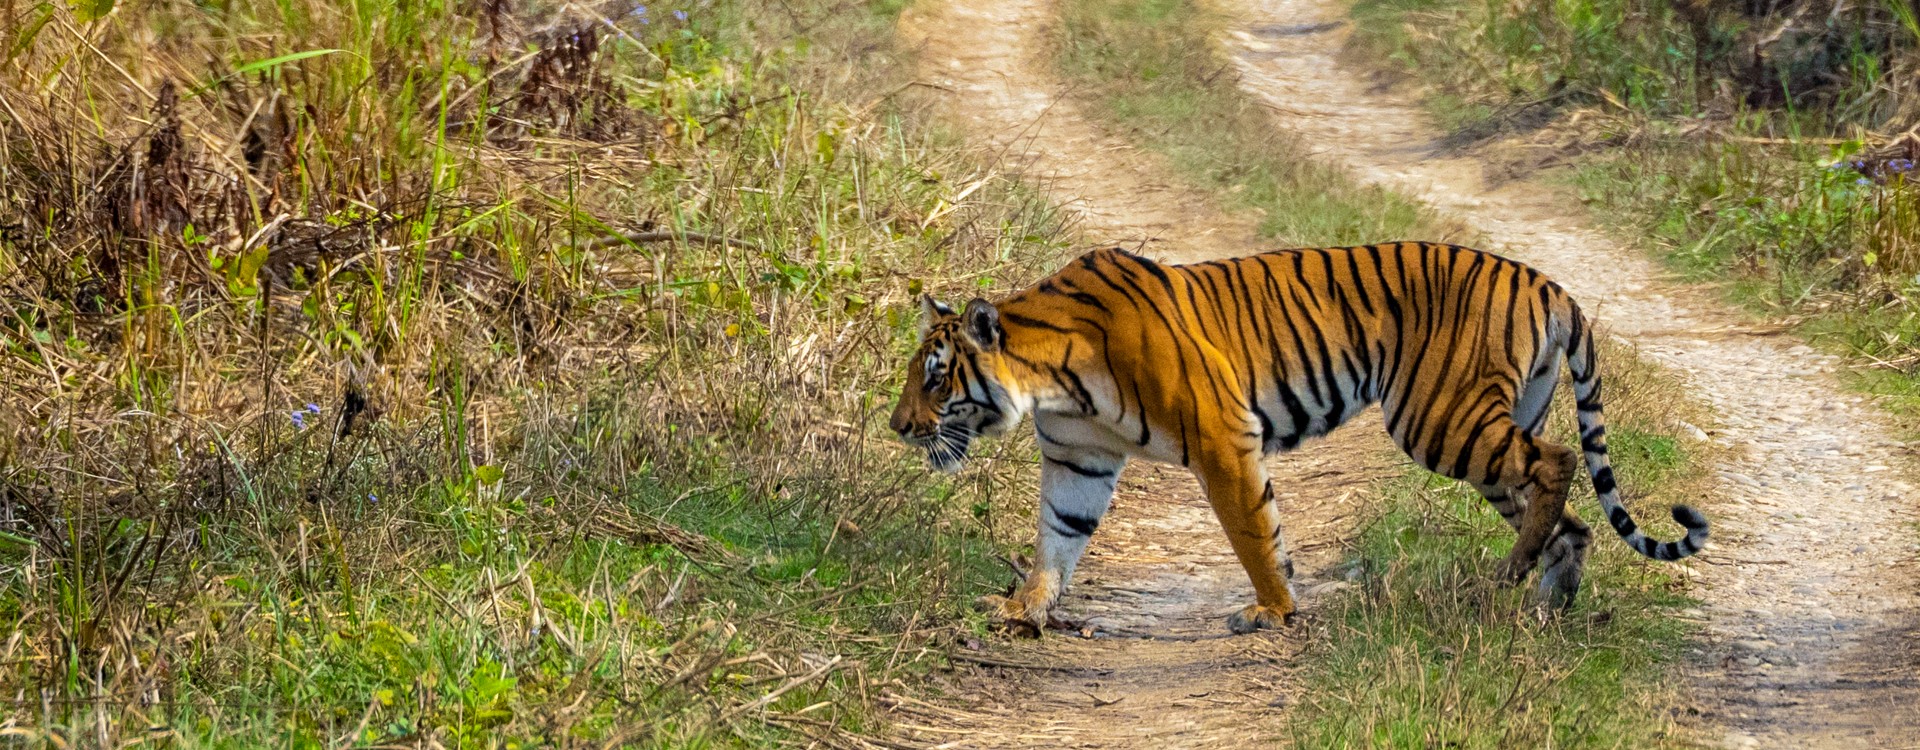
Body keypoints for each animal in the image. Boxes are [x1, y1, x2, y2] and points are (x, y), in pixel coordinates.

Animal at [887, 243, 1712, 636]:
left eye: (935, 378)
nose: (898, 427)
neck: (1050, 377)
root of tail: (1548, 283)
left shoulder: (1221, 437)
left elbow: (1253, 532)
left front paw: (1275, 611)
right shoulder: (1077, 458)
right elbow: (1058, 539)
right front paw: (1025, 608)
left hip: (1439, 419)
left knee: (1560, 460)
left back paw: (1510, 574)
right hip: (1484, 434)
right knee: (1571, 518)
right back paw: (1543, 603)